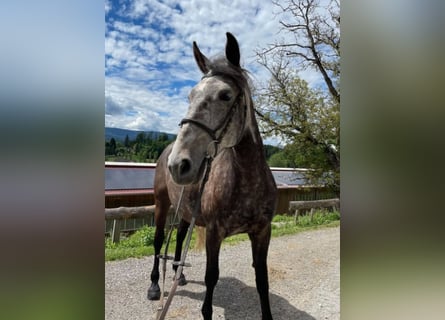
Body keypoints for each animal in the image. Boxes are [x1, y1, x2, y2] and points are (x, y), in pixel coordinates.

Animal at [147, 32, 276, 320]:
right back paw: (154, 286)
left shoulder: (262, 232)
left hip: (185, 210)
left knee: (179, 236)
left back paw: (179, 274)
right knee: (159, 241)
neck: (247, 181)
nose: (178, 165)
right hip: (162, 204)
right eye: (190, 95)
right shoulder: (214, 234)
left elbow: (262, 280)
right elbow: (211, 278)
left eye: (225, 95)